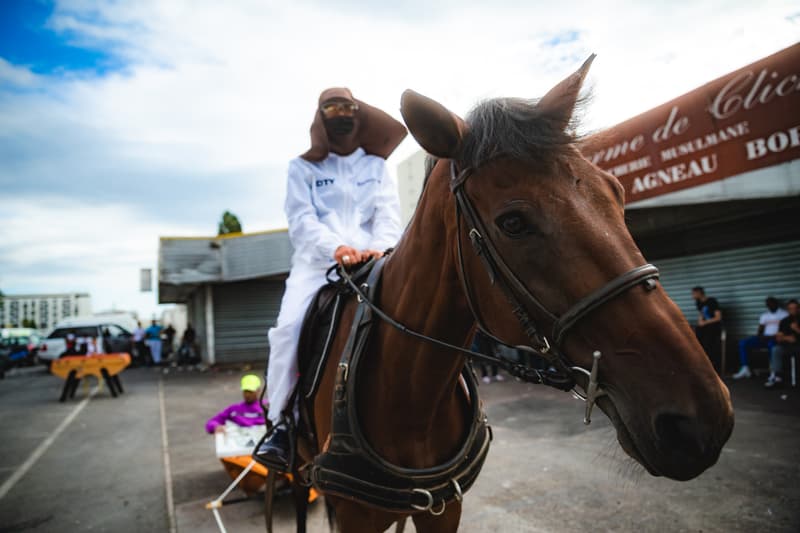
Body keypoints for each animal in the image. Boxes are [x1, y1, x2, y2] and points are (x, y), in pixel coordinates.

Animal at [296, 56, 736, 528]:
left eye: (617, 193)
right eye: (512, 223)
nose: (701, 418)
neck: (412, 396)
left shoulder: (443, 508)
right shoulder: (354, 516)